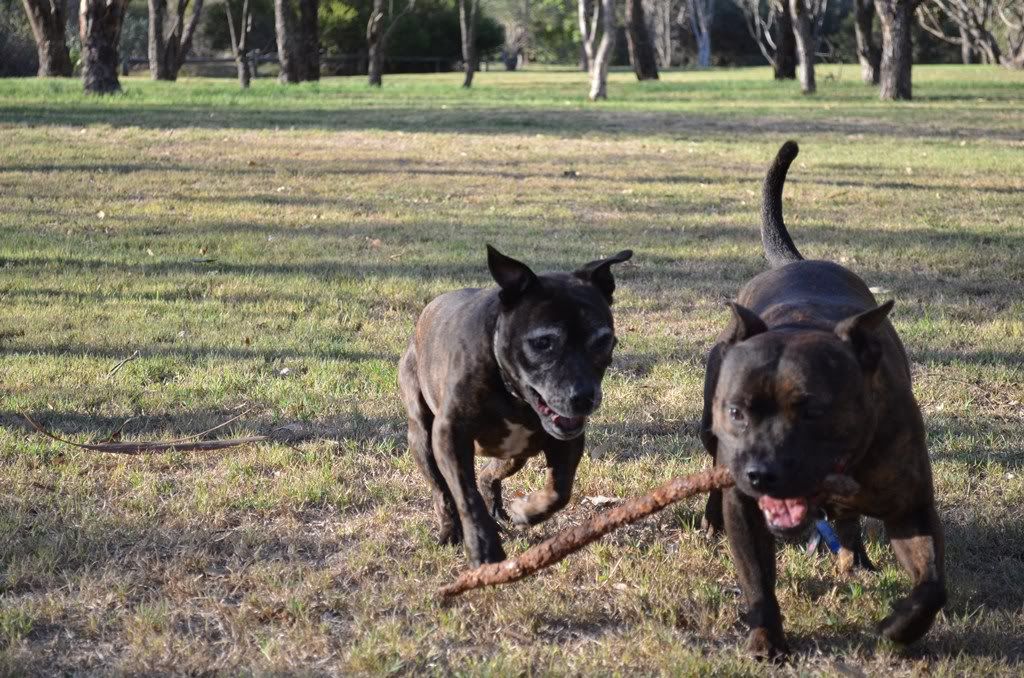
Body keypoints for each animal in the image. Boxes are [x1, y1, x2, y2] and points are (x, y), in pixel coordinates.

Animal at [399, 246, 630, 565]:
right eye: (543, 342)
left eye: (603, 341)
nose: (584, 396)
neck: (513, 396)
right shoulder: (449, 437)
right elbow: (466, 497)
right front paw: (484, 548)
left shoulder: (567, 441)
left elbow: (560, 491)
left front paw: (527, 511)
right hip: (422, 436)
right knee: (442, 491)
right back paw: (450, 529)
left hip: (515, 452)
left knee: (488, 475)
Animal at [700, 142, 946, 659]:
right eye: (737, 412)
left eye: (813, 411)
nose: (761, 472)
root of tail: (796, 261)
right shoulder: (746, 508)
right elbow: (757, 581)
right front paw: (766, 639)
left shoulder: (911, 504)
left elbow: (932, 585)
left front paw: (899, 628)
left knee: (850, 524)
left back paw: (856, 557)